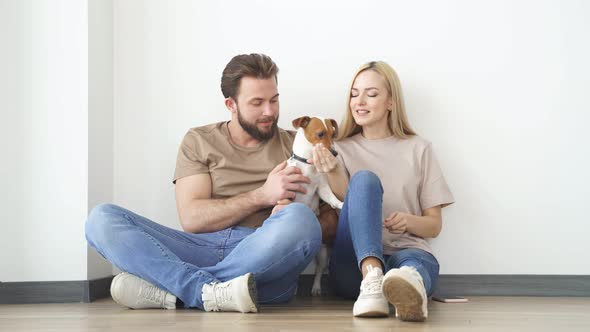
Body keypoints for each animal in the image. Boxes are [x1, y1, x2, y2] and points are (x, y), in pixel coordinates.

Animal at [290, 116, 344, 296]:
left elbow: (331, 198)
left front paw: (340, 204)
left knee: (319, 270)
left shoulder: (322, 188)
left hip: (321, 253)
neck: (309, 165)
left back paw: (316, 287)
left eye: (333, 134)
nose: (334, 153)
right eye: (320, 134)